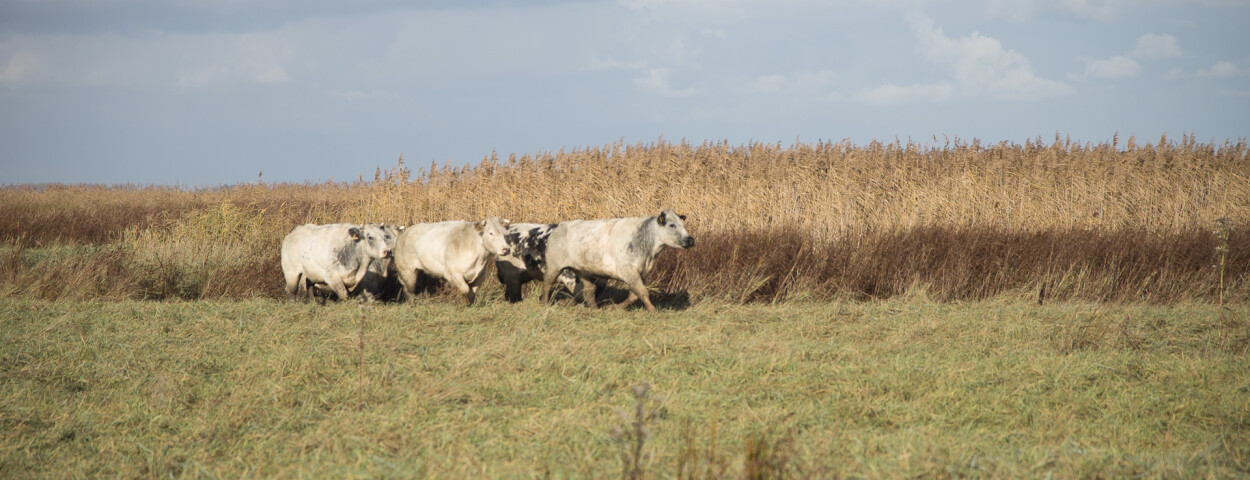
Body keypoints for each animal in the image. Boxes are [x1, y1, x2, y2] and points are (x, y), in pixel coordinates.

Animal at [540, 209, 694, 312]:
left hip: (585, 271)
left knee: (588, 291)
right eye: (672, 225)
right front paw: (653, 310)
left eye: (682, 224)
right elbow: (642, 292)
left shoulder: (642, 273)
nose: (690, 239)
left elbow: (634, 295)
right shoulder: (629, 271)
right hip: (554, 266)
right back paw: (545, 303)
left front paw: (616, 307)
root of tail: (558, 227)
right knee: (547, 283)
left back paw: (595, 310)